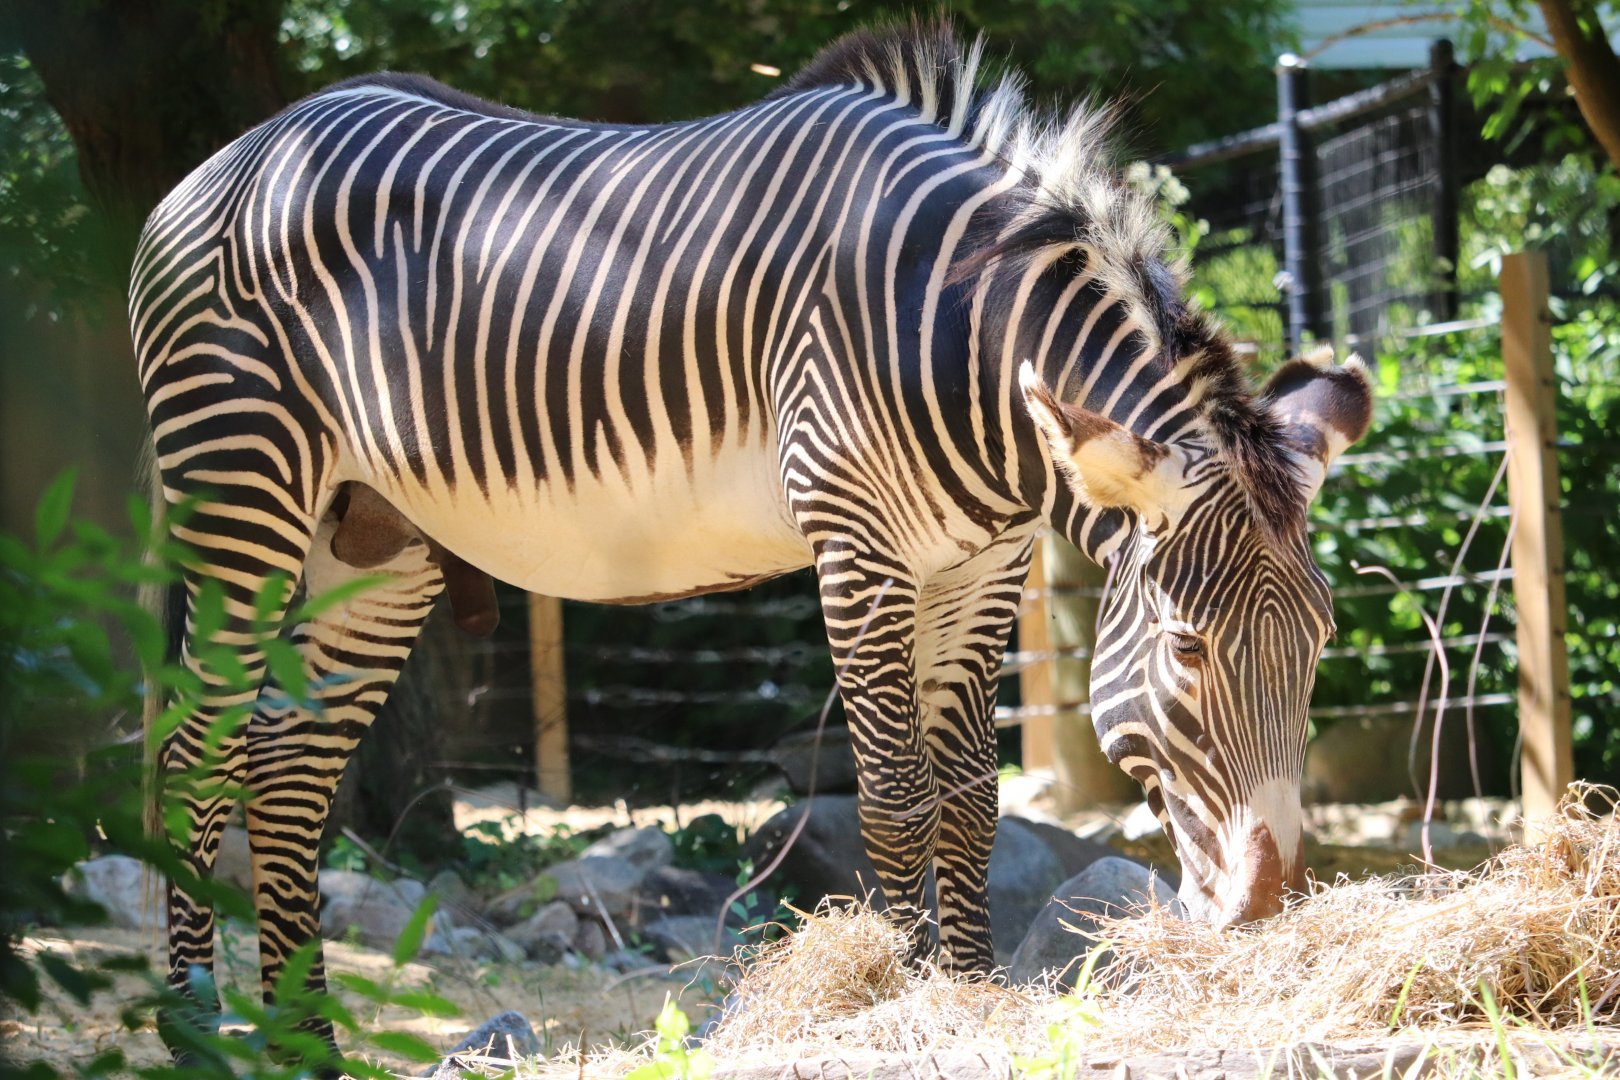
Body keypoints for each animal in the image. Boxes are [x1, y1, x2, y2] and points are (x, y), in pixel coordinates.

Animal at [130, 20, 1372, 1055]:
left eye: (1319, 646)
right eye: (1189, 650)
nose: (1268, 906)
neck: (958, 333)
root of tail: (226, 160)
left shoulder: (979, 566)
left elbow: (973, 797)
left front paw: (971, 997)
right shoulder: (858, 544)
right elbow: (896, 795)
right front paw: (894, 1003)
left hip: (369, 540)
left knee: (287, 769)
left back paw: (305, 1044)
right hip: (240, 484)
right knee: (197, 749)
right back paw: (192, 1028)